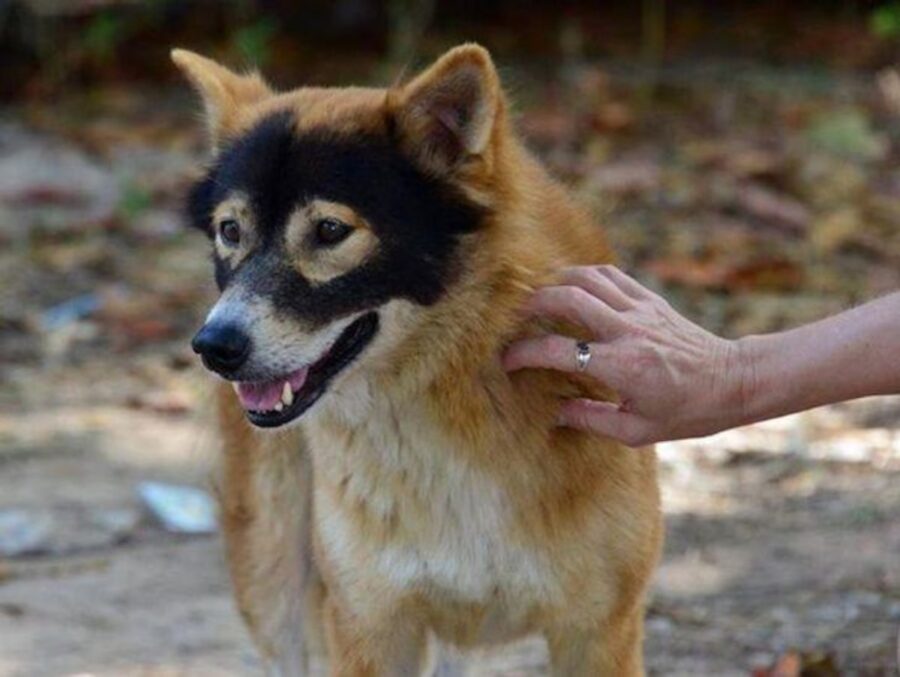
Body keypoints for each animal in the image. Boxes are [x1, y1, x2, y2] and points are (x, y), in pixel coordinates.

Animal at [176, 45, 664, 672]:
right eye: (230, 231)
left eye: (330, 230)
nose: (214, 346)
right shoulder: (370, 628)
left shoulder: (600, 633)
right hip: (271, 571)